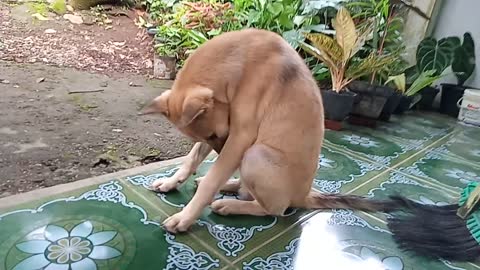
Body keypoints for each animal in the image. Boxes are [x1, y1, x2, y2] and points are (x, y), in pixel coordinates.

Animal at [143, 28, 404, 233]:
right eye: (210, 137)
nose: (220, 149)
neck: (240, 62)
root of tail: (303, 196)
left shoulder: (239, 137)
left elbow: (211, 181)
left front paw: (184, 218)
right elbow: (192, 159)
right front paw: (171, 182)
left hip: (255, 155)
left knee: (274, 210)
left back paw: (231, 205)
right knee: (243, 187)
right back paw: (231, 185)